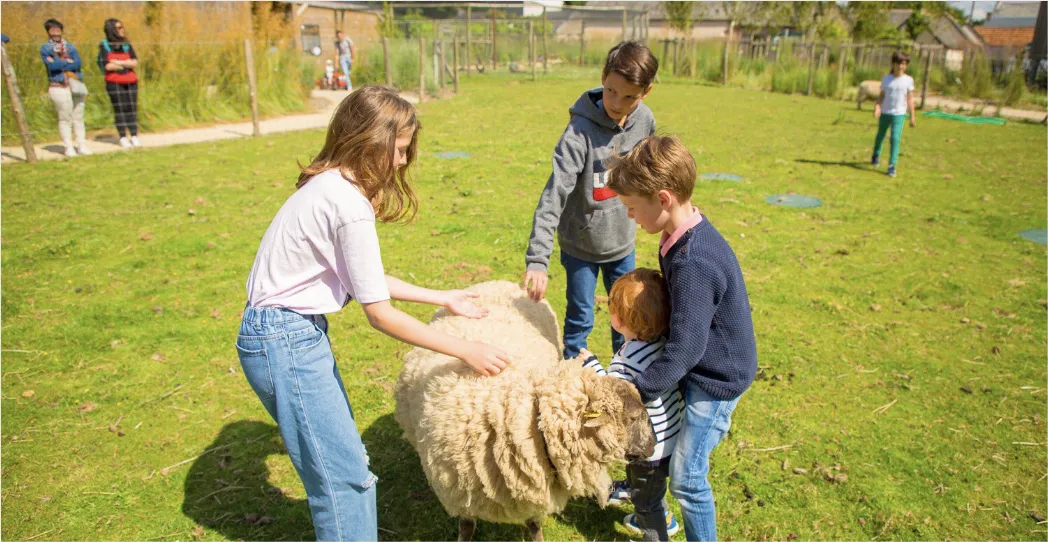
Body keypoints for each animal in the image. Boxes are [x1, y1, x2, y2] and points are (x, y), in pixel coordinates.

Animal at [394, 280, 655, 541]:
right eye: (633, 417)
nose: (653, 446)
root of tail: (498, 282)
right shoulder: (462, 494)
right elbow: (467, 526)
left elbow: (534, 523)